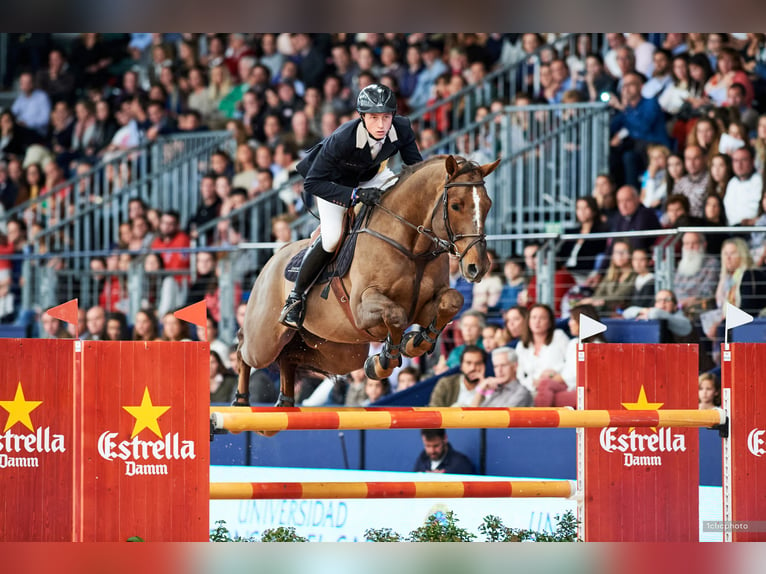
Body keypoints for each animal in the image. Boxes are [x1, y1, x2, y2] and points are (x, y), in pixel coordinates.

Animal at [236, 154, 498, 410]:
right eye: (456, 205)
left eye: (488, 205)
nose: (478, 267)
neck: (413, 249)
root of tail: (273, 258)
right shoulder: (362, 308)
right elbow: (395, 315)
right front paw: (385, 359)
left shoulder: (424, 307)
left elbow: (452, 301)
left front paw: (414, 343)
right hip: (264, 341)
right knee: (243, 348)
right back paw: (241, 400)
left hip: (339, 351)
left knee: (290, 357)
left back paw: (285, 402)